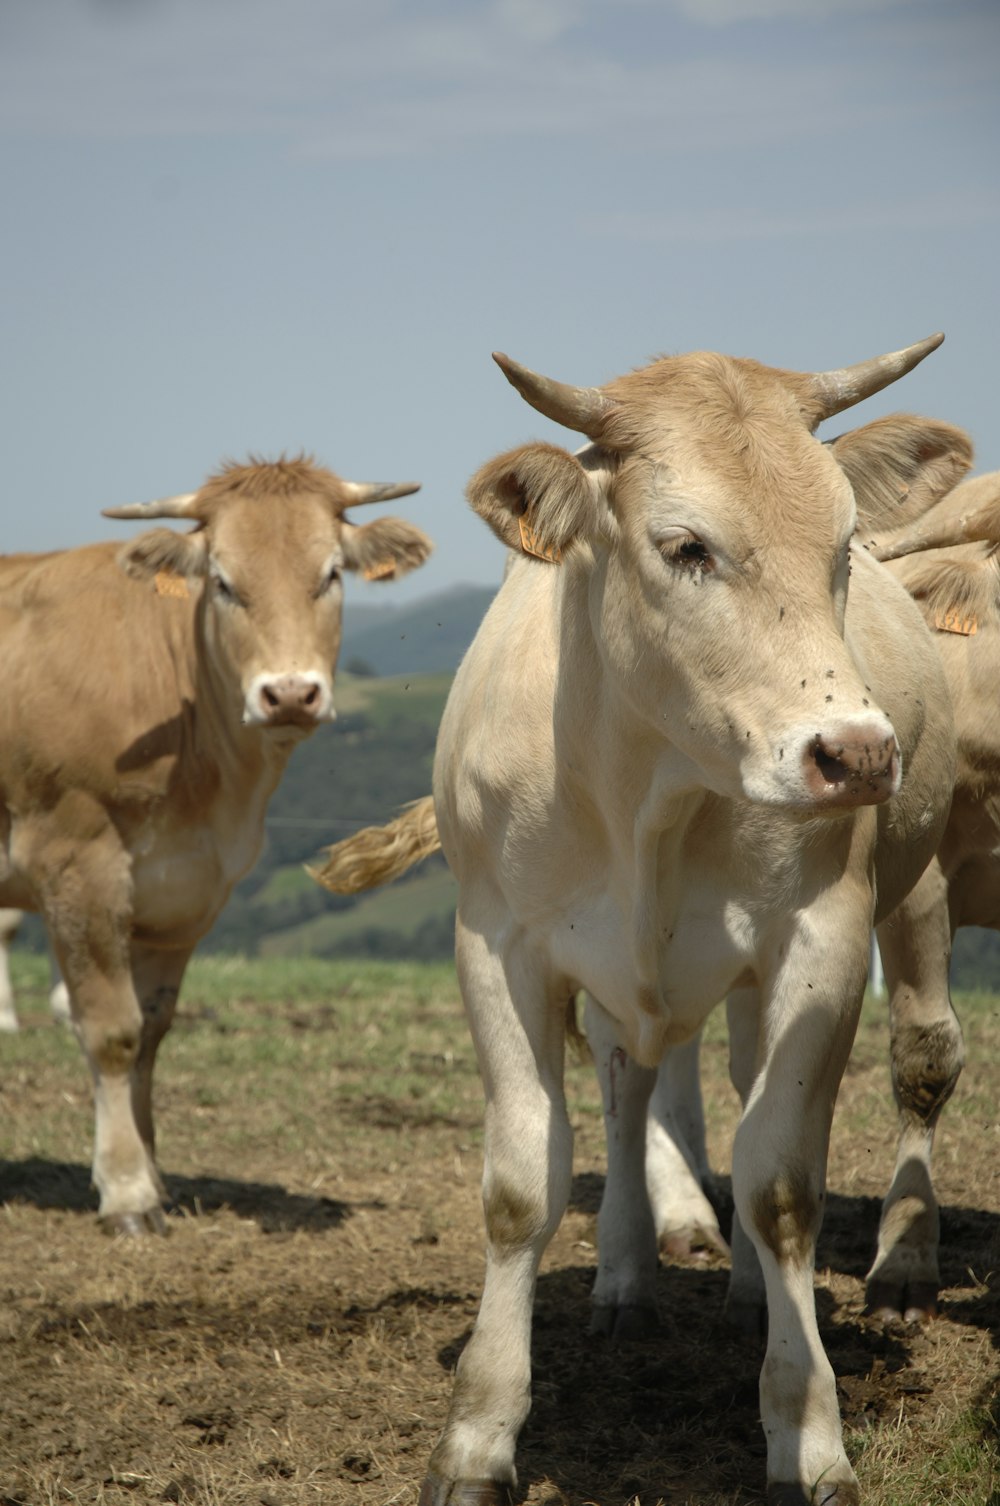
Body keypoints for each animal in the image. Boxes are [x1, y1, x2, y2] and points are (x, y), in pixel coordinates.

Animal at [0, 457, 430, 1234]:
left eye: (331, 573)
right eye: (224, 582)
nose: (289, 695)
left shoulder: (184, 889)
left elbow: (151, 1030)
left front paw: (152, 1173)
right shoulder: (74, 863)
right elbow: (111, 1030)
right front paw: (127, 1192)